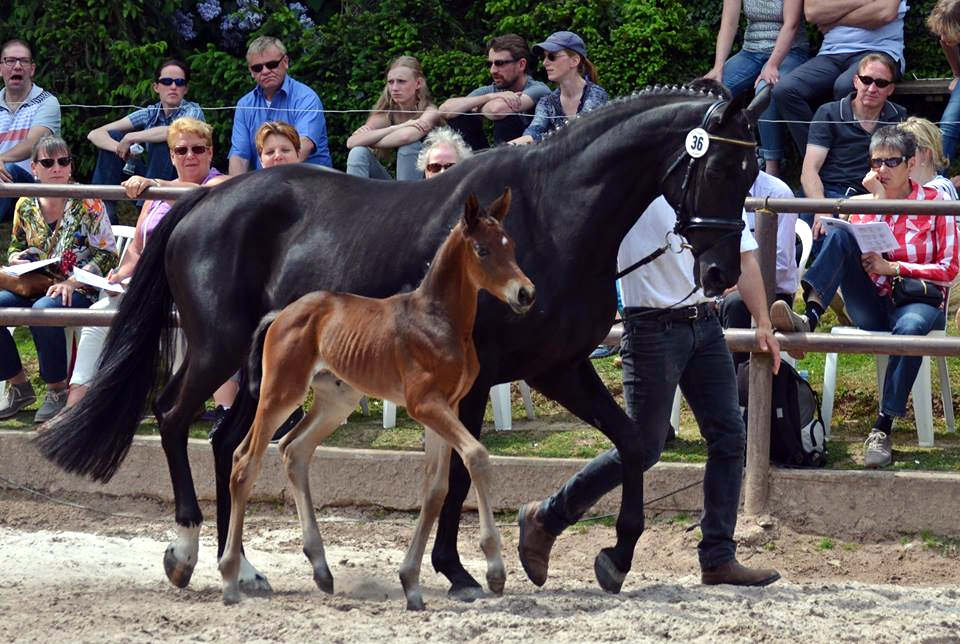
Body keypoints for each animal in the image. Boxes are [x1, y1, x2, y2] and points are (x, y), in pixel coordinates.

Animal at [221, 189, 536, 612]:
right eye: (482, 250)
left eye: (511, 245)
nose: (525, 293)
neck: (439, 320)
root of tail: (281, 314)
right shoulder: (424, 405)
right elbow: (477, 457)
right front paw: (495, 570)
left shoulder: (446, 406)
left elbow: (436, 489)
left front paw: (411, 582)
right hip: (279, 393)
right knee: (244, 461)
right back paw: (230, 577)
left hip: (336, 400)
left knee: (293, 449)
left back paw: (321, 569)